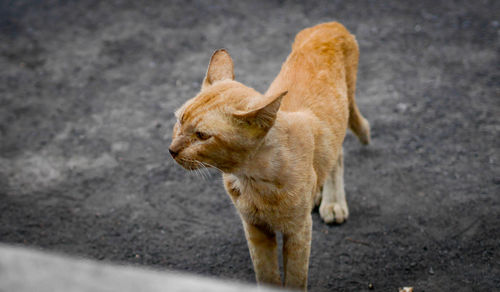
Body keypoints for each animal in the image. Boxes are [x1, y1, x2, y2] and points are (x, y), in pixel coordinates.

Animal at [170, 22, 370, 290]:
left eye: (202, 135)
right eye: (179, 120)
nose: (172, 150)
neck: (254, 179)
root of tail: (329, 25)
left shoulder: (298, 231)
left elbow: (295, 278)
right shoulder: (254, 228)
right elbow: (266, 275)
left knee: (338, 154)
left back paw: (333, 202)